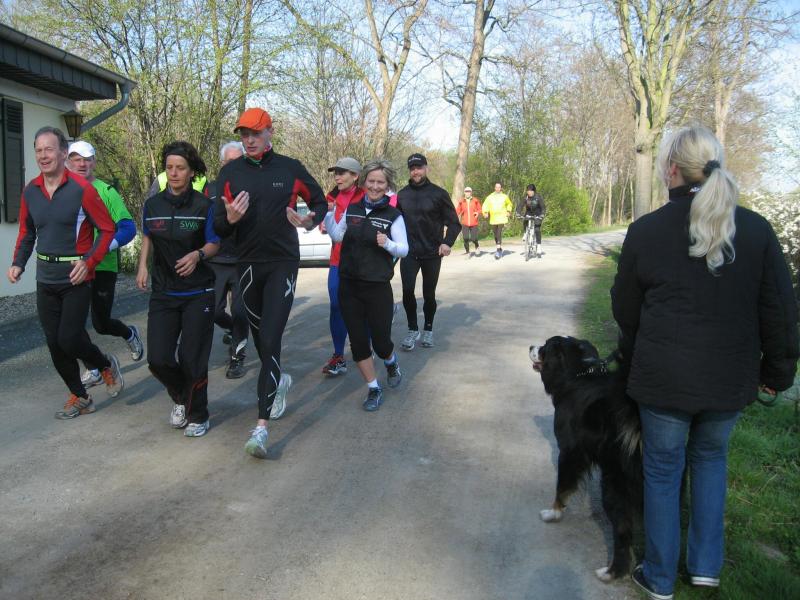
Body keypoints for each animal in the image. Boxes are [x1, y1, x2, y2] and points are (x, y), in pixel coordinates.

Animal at [530, 336, 642, 582]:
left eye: (545, 347)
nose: (531, 347)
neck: (576, 376)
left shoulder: (570, 452)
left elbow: (562, 486)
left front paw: (553, 513)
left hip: (614, 486)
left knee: (623, 531)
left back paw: (611, 572)